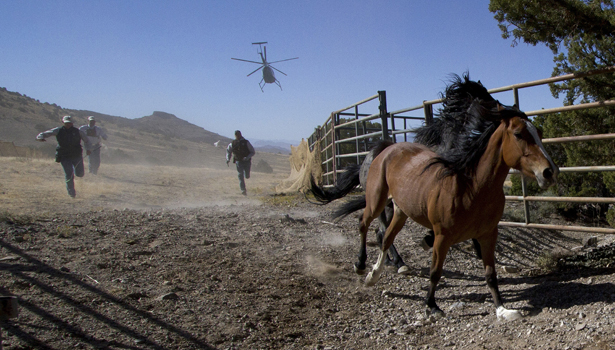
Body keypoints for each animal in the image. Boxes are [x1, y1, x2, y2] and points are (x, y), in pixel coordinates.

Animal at [334, 75, 560, 322]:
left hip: (401, 211)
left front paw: (503, 309)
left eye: (539, 133)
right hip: (377, 201)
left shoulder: (488, 234)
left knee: (386, 238)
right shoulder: (442, 236)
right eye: (518, 134)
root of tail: (385, 149)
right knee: (364, 224)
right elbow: (435, 271)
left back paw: (375, 275)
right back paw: (360, 266)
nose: (549, 172)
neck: (471, 187)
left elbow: (490, 274)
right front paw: (431, 306)